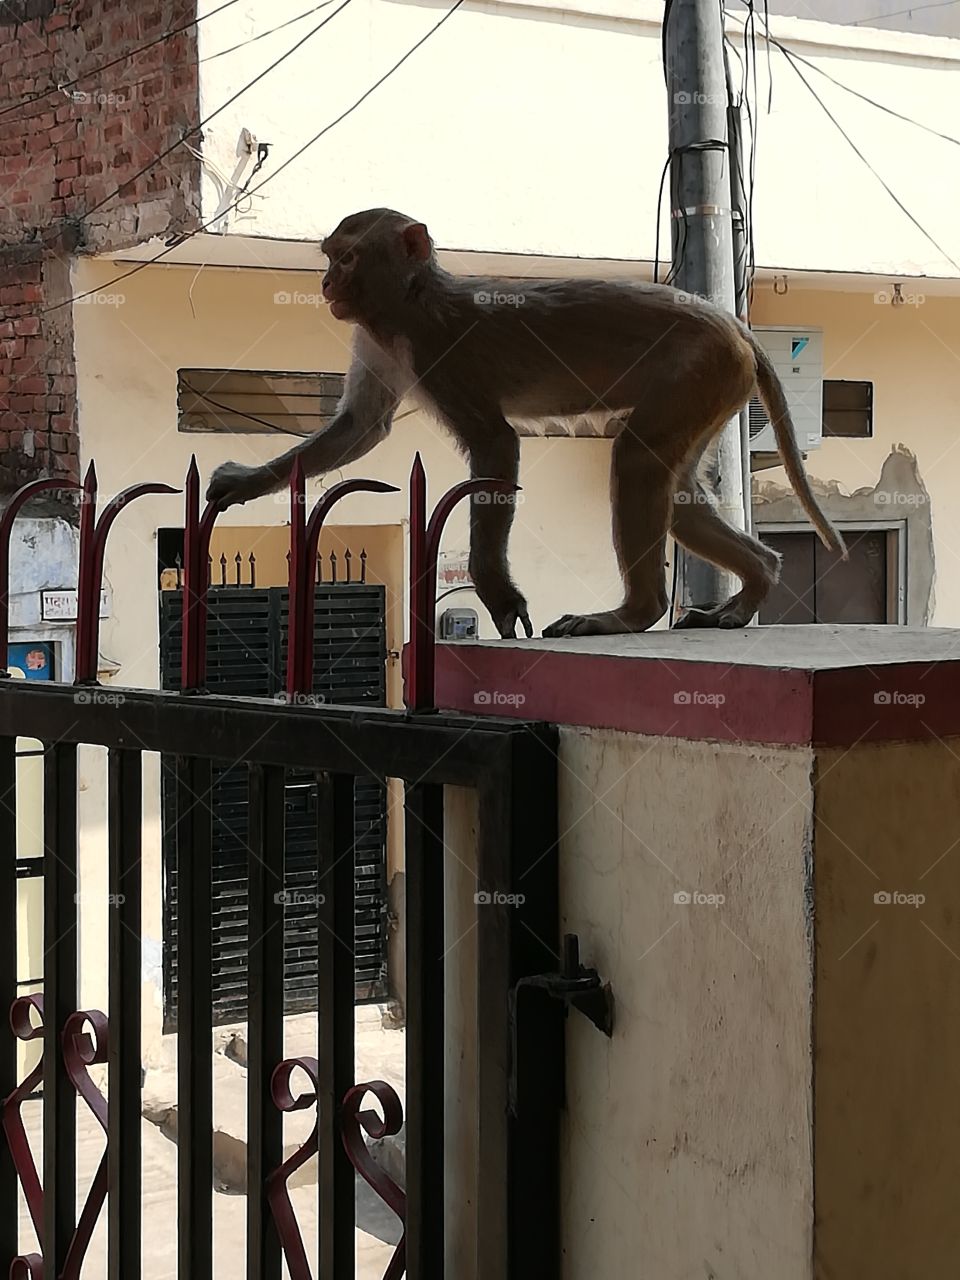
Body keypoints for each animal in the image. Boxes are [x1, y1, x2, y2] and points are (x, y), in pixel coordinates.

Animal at [207, 208, 844, 639]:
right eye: (331, 256)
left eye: (348, 257)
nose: (326, 283)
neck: (408, 304)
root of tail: (734, 326)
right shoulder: (376, 338)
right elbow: (359, 428)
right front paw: (243, 483)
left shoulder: (438, 349)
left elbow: (495, 444)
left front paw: (496, 591)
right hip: (714, 385)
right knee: (677, 493)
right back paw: (752, 585)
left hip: (701, 367)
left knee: (638, 459)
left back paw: (629, 614)